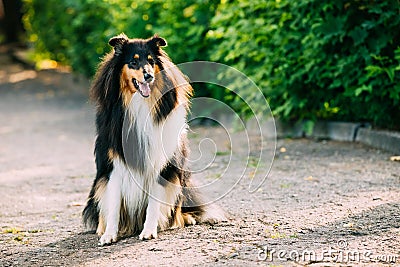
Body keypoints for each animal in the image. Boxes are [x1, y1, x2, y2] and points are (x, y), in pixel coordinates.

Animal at [82, 34, 225, 247]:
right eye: (133, 62)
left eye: (151, 61)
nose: (148, 76)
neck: (140, 104)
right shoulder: (114, 165)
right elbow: (113, 203)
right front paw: (109, 234)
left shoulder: (161, 163)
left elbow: (154, 203)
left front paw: (149, 230)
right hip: (99, 183)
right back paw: (102, 227)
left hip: (182, 178)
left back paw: (184, 219)